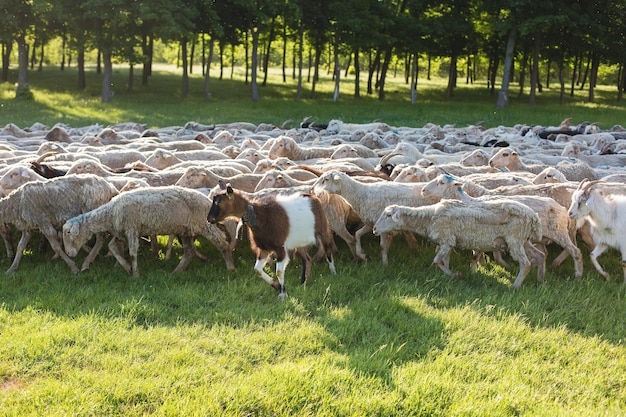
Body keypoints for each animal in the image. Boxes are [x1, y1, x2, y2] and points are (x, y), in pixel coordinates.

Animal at [63, 185, 234, 276]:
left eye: (69, 233)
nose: (69, 253)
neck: (110, 213)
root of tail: (207, 200)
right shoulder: (122, 232)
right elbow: (112, 248)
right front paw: (127, 267)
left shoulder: (132, 229)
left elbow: (132, 253)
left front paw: (135, 274)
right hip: (185, 230)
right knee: (189, 252)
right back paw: (176, 272)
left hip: (205, 224)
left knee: (222, 243)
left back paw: (230, 267)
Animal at [206, 182, 334, 300]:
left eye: (218, 202)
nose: (209, 219)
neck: (259, 216)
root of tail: (313, 196)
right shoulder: (264, 248)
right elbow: (257, 270)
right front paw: (277, 286)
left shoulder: (280, 247)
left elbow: (278, 271)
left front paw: (282, 293)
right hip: (298, 241)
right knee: (307, 259)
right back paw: (303, 283)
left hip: (322, 229)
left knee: (328, 249)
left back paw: (333, 273)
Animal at [370, 200, 540, 288]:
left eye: (388, 215)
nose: (374, 229)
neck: (429, 218)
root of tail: (534, 216)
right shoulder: (447, 243)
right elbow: (444, 260)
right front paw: (449, 275)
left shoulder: (447, 240)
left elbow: (436, 261)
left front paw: (455, 275)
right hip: (524, 240)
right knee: (539, 255)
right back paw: (540, 278)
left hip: (515, 239)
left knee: (525, 263)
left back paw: (515, 286)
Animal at [420, 174, 580, 278]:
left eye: (441, 182)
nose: (423, 190)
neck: (468, 200)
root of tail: (561, 208)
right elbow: (478, 253)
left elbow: (477, 254)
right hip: (540, 236)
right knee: (545, 253)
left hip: (558, 232)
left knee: (575, 251)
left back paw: (577, 274)